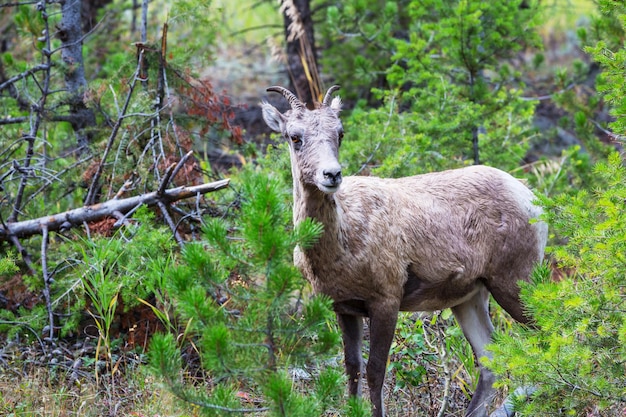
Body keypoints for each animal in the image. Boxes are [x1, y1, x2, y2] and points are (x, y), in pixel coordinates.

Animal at [260, 85, 544, 416]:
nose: (331, 175)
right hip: (470, 297)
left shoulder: (386, 300)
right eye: (294, 137)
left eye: (339, 133)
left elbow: (375, 371)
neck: (340, 247)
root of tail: (531, 198)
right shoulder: (344, 307)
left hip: (515, 283)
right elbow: (352, 369)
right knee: (491, 360)